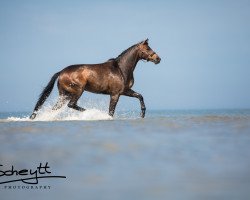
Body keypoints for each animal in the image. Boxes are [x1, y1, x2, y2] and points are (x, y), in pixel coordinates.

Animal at [30, 39, 161, 119]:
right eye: (148, 49)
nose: (158, 59)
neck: (121, 69)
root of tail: (61, 72)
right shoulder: (115, 94)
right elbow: (111, 111)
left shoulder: (125, 91)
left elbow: (140, 96)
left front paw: (142, 114)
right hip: (78, 91)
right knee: (72, 104)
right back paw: (91, 112)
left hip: (65, 94)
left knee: (56, 108)